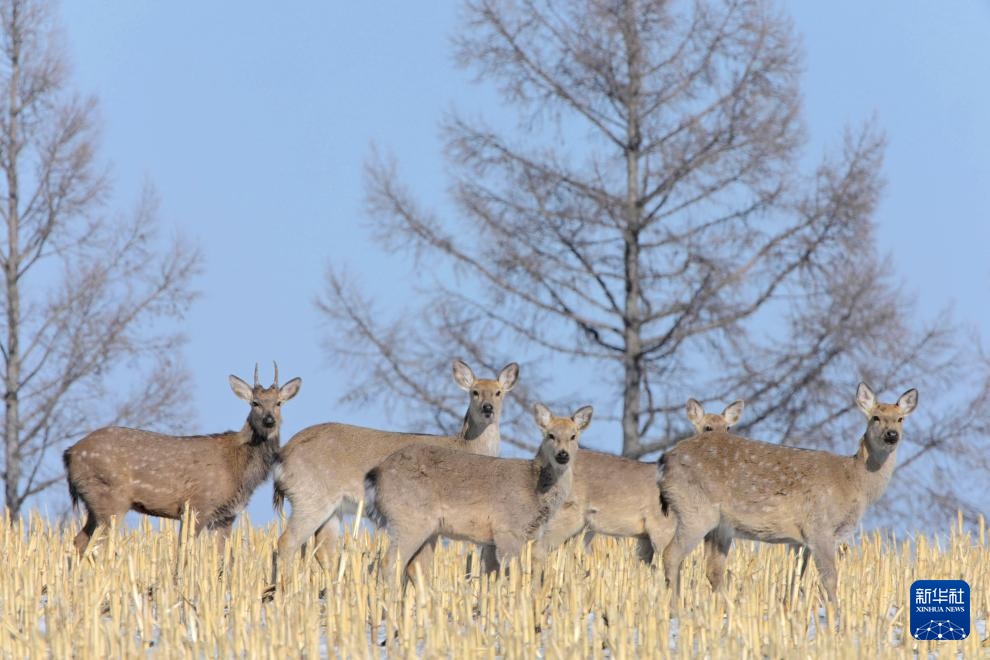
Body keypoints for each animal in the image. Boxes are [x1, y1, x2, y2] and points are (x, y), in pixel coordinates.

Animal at [62, 364, 300, 556]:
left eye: (279, 403)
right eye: (255, 403)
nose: (269, 420)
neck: (239, 468)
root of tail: (69, 453)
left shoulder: (226, 517)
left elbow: (222, 559)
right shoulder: (197, 507)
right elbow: (183, 553)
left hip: (93, 504)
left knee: (78, 541)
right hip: (110, 498)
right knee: (97, 547)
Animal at [272, 358, 520, 568]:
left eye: (498, 392)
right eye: (474, 392)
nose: (488, 408)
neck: (467, 446)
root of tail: (283, 456)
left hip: (333, 508)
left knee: (324, 551)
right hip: (310, 496)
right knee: (286, 542)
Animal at [366, 402, 592, 584]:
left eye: (573, 436)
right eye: (550, 435)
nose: (563, 455)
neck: (536, 492)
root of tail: (376, 473)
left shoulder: (494, 540)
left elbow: (491, 575)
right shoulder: (507, 529)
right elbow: (515, 576)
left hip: (429, 529)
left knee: (415, 567)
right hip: (409, 518)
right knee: (390, 563)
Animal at [660, 382, 924, 604]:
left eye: (900, 419)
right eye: (875, 417)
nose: (892, 435)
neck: (854, 482)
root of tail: (665, 460)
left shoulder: (800, 540)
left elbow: (796, 579)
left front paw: (791, 608)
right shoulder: (819, 526)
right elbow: (830, 578)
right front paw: (836, 615)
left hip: (720, 526)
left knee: (711, 568)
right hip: (695, 509)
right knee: (671, 554)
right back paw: (674, 607)